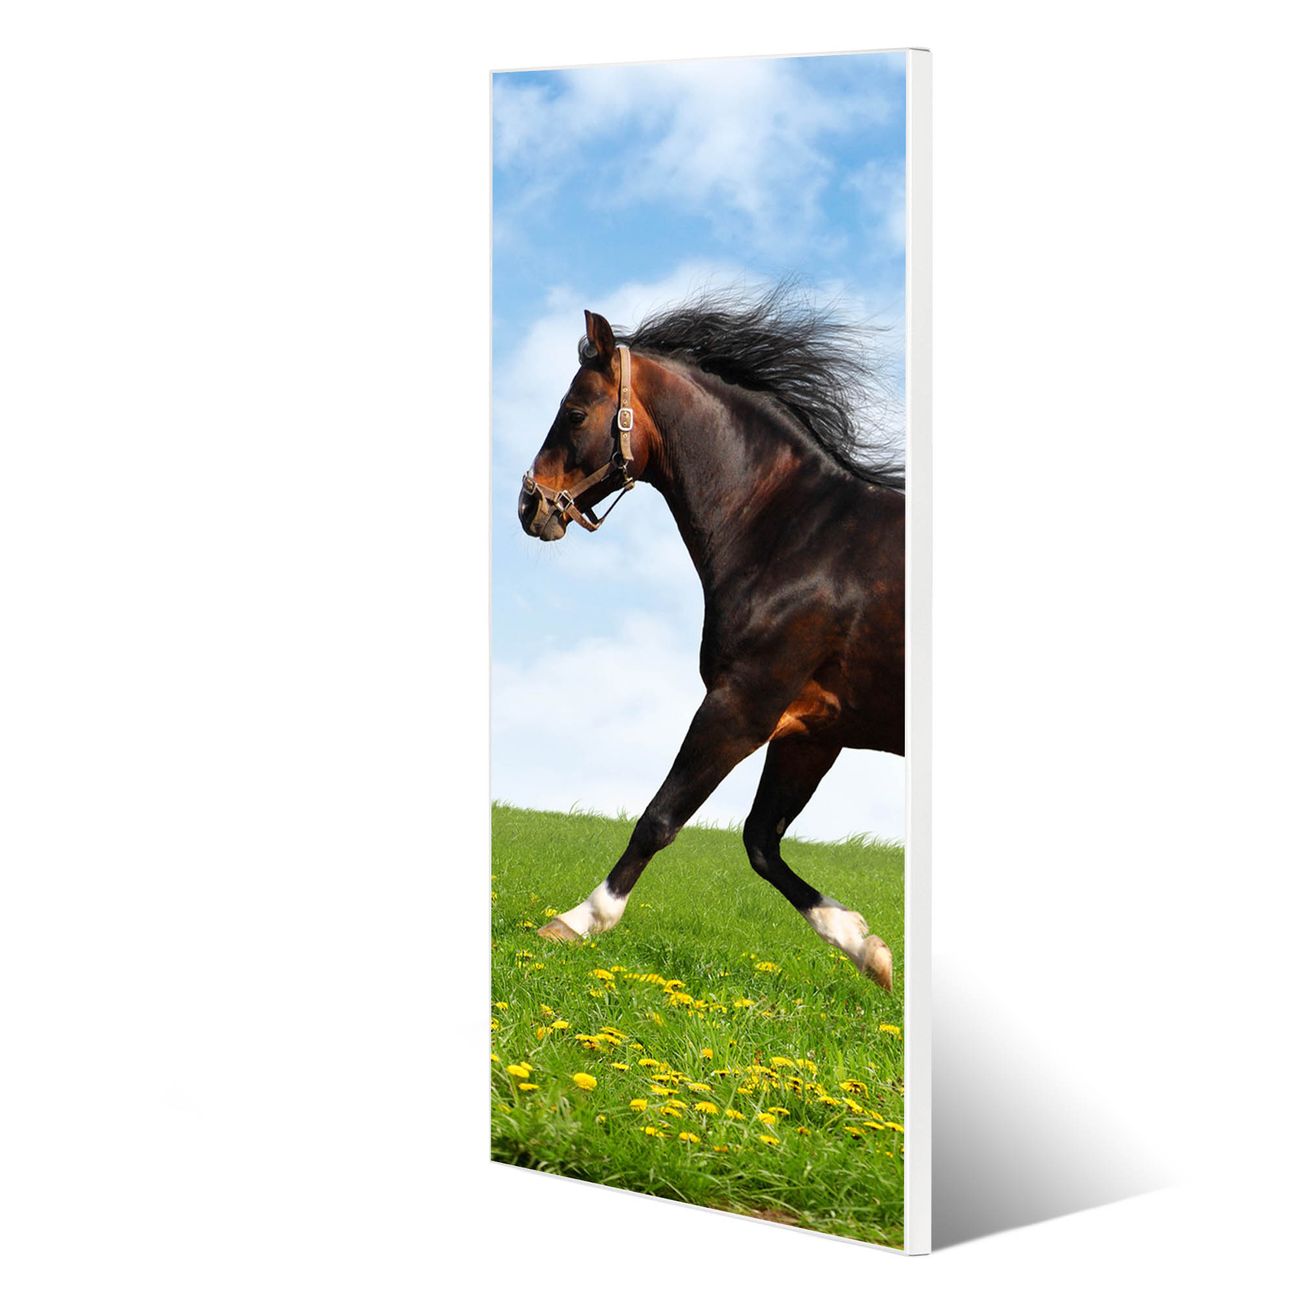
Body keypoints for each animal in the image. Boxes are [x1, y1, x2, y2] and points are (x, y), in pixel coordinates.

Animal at [515, 288, 903, 990]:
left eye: (574, 411)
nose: (528, 507)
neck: (799, 535)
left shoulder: (739, 707)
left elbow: (659, 819)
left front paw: (576, 922)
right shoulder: (809, 732)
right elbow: (761, 842)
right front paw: (867, 948)